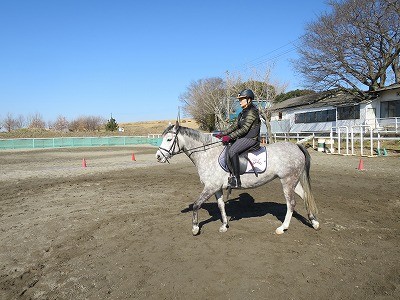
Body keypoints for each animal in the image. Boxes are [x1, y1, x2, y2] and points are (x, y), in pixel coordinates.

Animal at [155, 120, 320, 236]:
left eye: (169, 140)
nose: (158, 157)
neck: (207, 154)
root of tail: (296, 146)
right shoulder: (217, 188)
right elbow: (221, 205)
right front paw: (224, 225)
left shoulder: (210, 187)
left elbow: (197, 204)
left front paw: (195, 228)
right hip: (294, 181)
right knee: (305, 197)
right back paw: (314, 222)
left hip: (287, 181)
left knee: (291, 203)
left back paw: (282, 228)